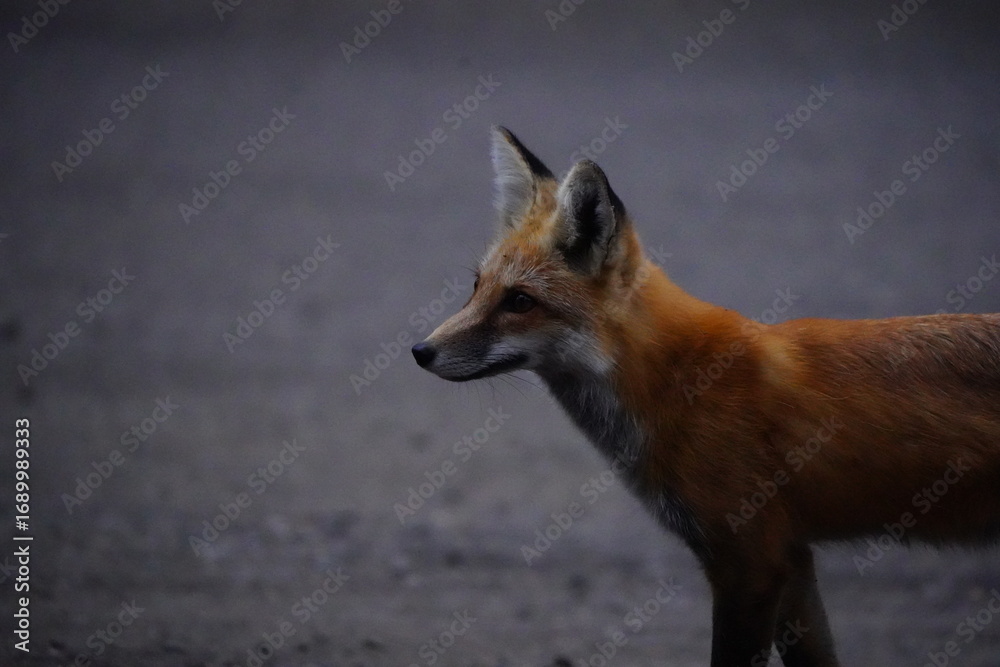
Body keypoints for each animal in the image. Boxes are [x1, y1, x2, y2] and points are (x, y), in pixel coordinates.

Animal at [411, 126, 1000, 666]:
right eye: (477, 287)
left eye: (520, 301)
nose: (421, 351)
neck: (679, 383)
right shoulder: (793, 562)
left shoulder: (750, 563)